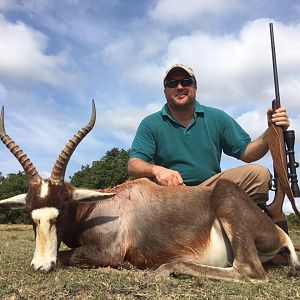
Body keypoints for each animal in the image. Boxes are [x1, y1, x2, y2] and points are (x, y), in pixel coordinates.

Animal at [0, 102, 298, 282]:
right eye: (30, 215)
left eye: (61, 211)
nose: (40, 266)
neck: (104, 204)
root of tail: (278, 231)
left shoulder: (108, 252)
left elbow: (66, 256)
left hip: (225, 196)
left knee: (250, 272)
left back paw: (167, 269)